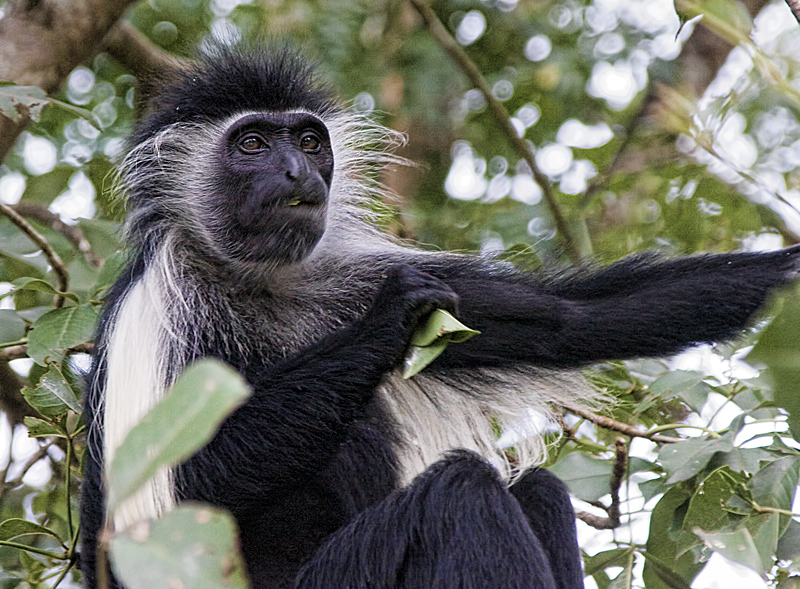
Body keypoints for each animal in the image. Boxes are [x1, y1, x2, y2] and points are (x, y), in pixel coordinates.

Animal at [81, 46, 800, 588]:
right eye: (252, 143)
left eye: (309, 142)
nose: (294, 171)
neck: (263, 285)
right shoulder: (162, 308)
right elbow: (177, 486)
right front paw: (387, 321)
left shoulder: (348, 275)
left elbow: (570, 321)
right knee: (458, 492)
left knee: (536, 489)